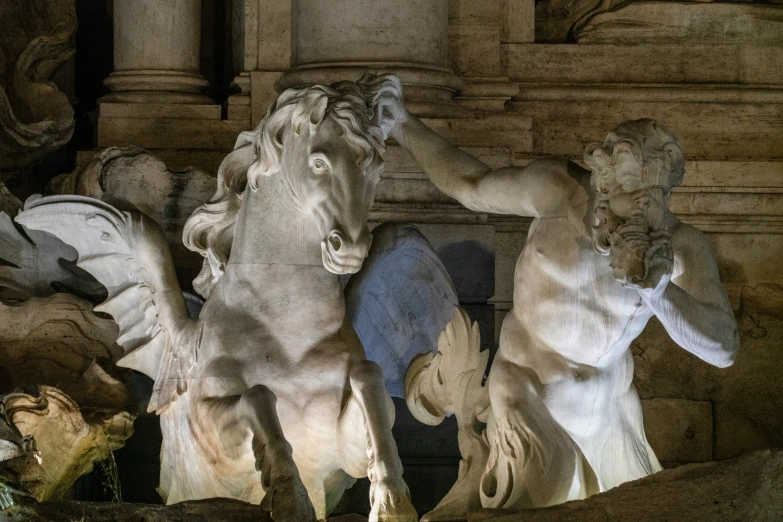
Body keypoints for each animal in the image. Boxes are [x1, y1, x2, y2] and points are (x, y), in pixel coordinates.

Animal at [15, 75, 434, 516]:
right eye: (319, 163)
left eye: (377, 167)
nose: (350, 247)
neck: (290, 324)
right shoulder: (213, 434)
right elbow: (258, 396)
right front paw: (288, 493)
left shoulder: (339, 453)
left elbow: (369, 378)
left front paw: (392, 501)